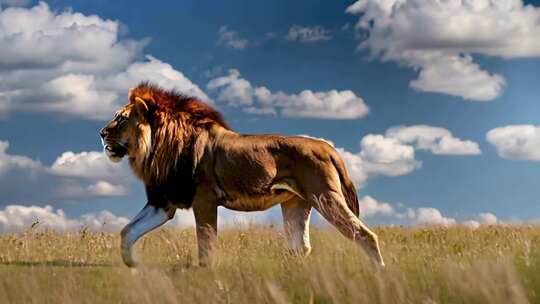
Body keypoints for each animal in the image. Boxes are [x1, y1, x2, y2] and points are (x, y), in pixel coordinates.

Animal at [100, 82, 384, 268]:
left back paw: (379, 276)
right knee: (300, 248)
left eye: (121, 119)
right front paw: (134, 266)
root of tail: (327, 147)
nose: (101, 133)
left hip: (325, 196)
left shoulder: (204, 200)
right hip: (296, 203)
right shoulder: (163, 202)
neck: (155, 147)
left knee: (365, 236)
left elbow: (205, 246)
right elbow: (127, 232)